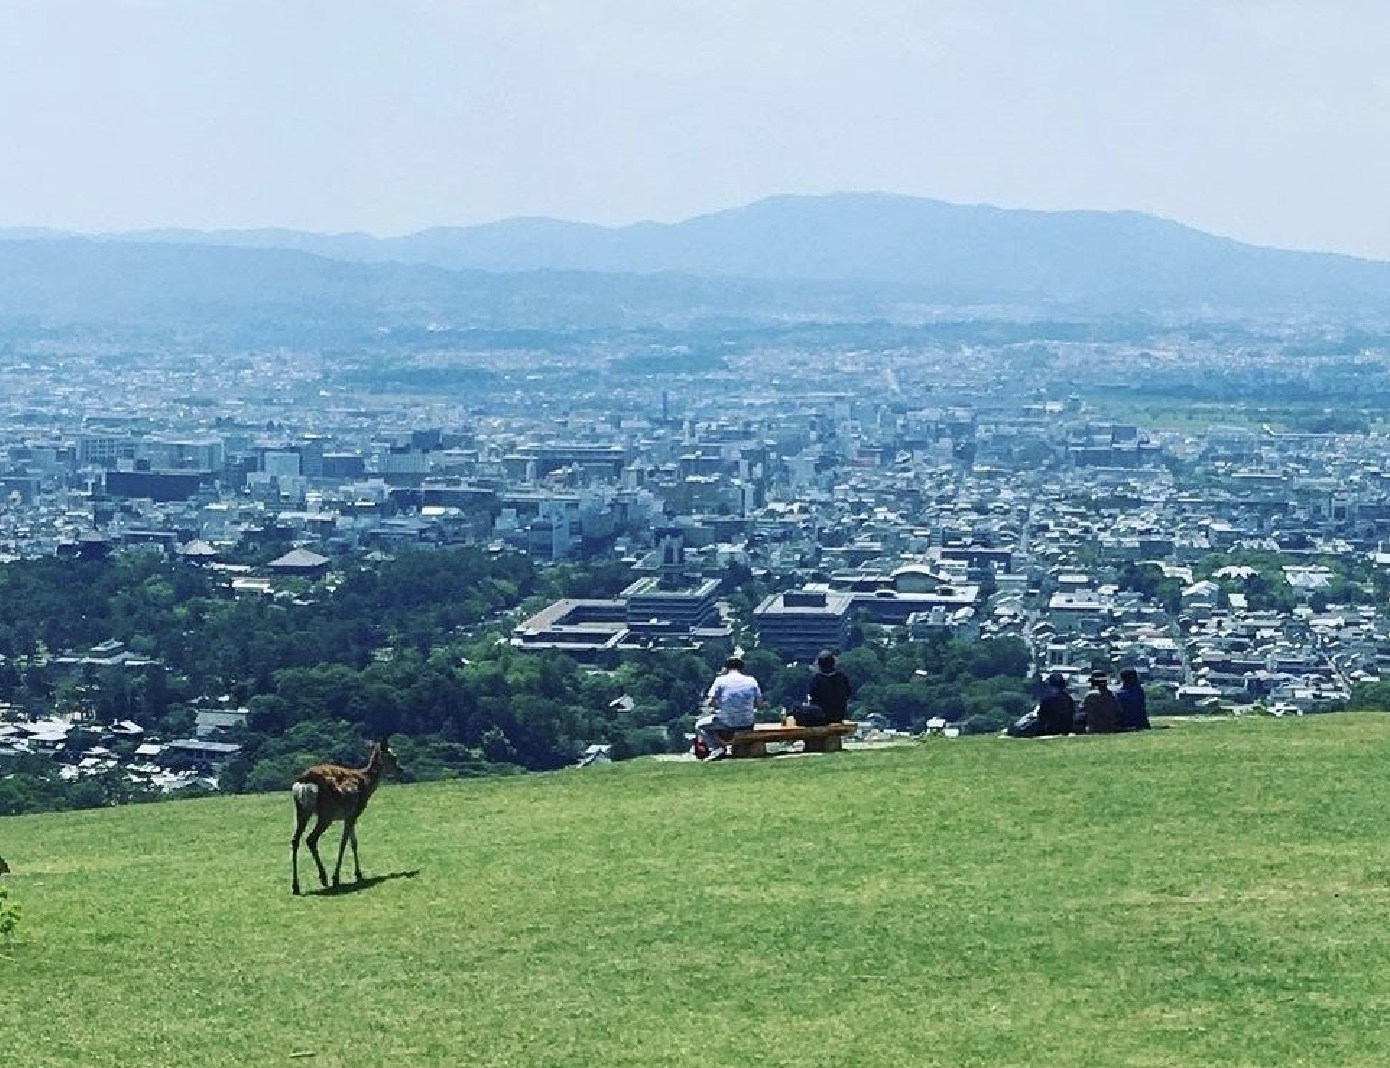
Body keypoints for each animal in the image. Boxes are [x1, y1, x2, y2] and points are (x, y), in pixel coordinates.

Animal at [290, 734, 400, 890]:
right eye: (393, 756)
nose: (400, 768)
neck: (367, 783)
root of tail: (304, 782)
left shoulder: (350, 816)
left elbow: (354, 843)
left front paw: (358, 874)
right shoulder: (354, 812)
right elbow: (344, 843)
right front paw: (336, 878)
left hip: (301, 809)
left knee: (295, 839)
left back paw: (296, 886)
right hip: (326, 813)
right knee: (311, 839)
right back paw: (324, 878)